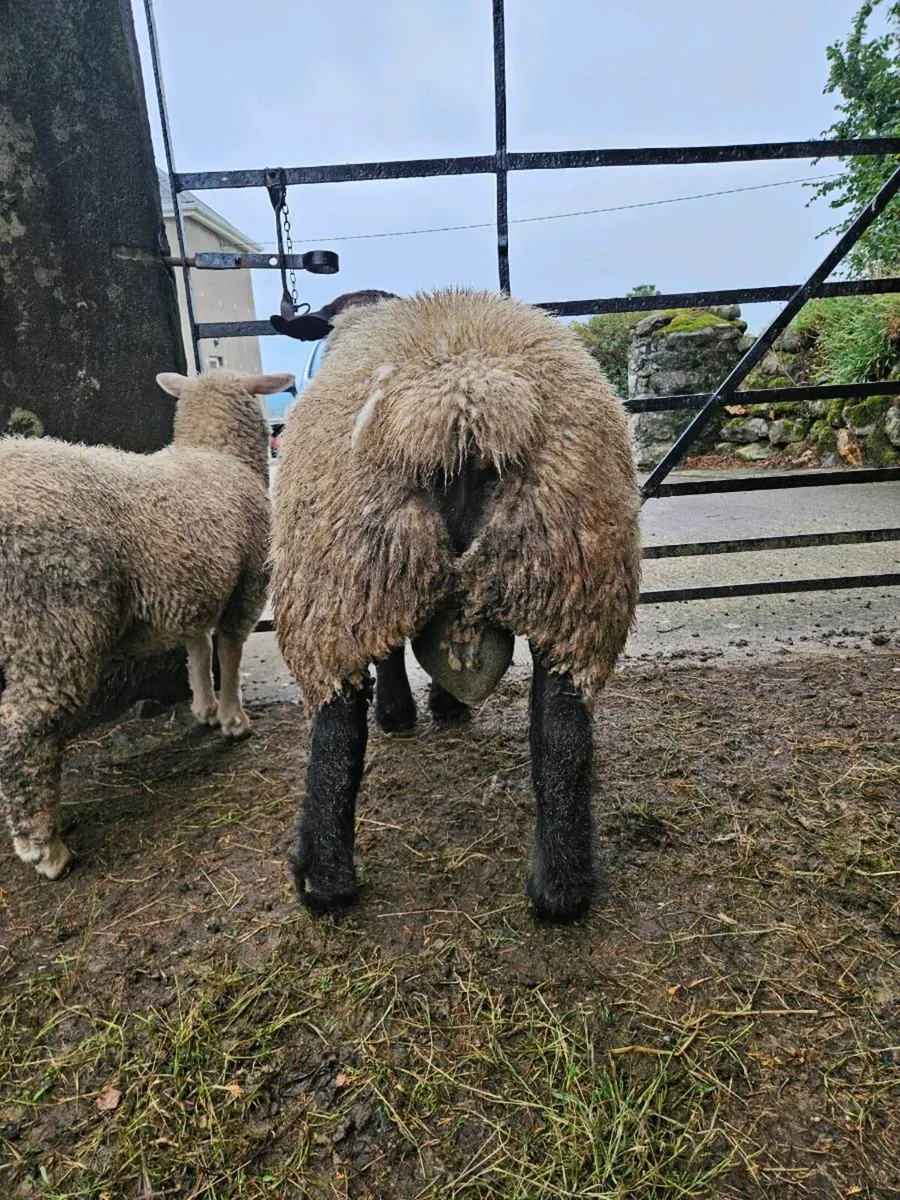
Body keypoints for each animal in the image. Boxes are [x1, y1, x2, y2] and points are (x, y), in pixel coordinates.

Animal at [0, 369, 293, 880]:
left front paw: (204, 709)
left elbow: (197, 648)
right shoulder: (246, 584)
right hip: (52, 623)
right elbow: (229, 652)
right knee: (23, 736)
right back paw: (45, 849)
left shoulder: (193, 587)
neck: (216, 453)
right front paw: (233, 720)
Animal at [271, 288, 641, 923]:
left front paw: (400, 713)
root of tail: (463, 403)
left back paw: (322, 884)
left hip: (338, 581)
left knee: (335, 735)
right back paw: (560, 891)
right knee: (562, 733)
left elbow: (390, 657)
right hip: (572, 581)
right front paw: (446, 705)